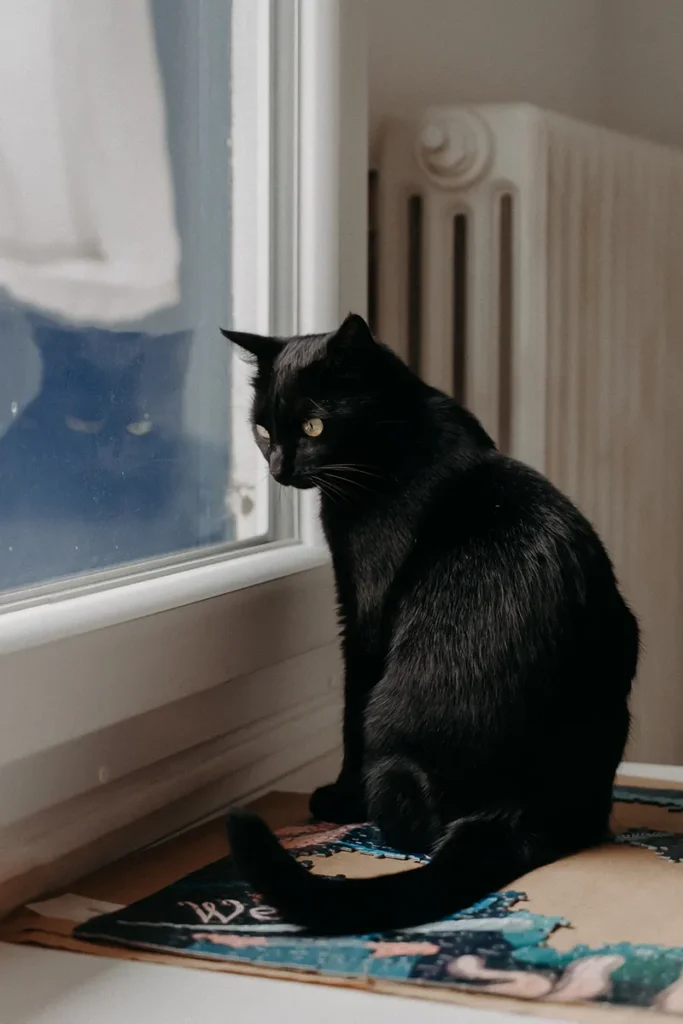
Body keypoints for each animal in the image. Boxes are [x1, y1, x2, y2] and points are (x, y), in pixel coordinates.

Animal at [224, 315, 643, 933]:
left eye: (314, 425)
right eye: (261, 430)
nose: (278, 468)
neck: (396, 437)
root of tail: (521, 813)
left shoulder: (363, 614)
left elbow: (348, 711)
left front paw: (339, 796)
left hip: (392, 748)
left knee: (411, 824)